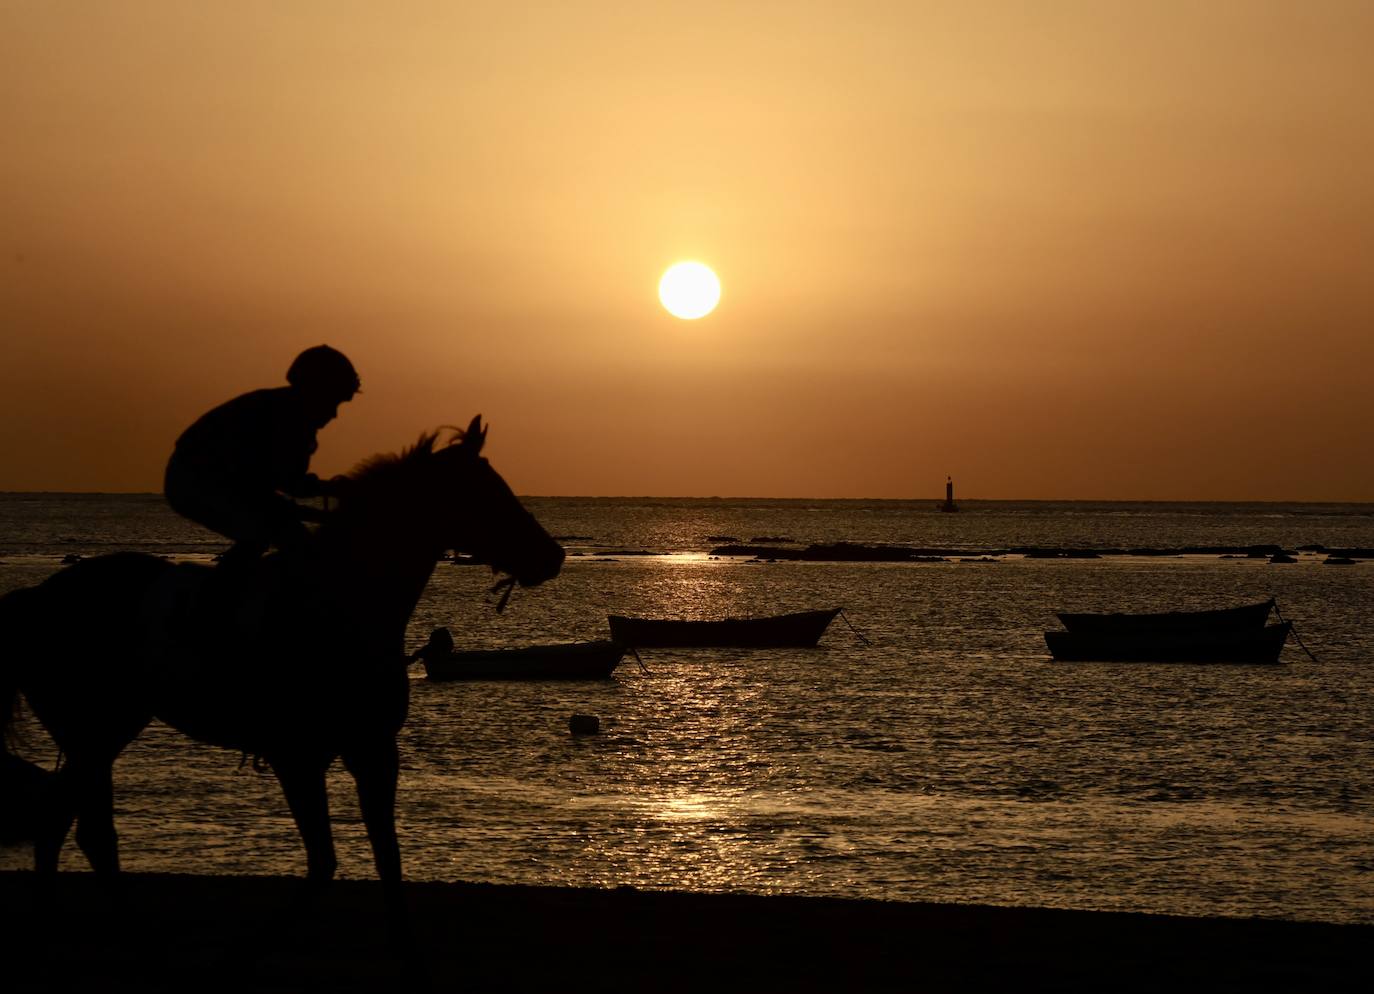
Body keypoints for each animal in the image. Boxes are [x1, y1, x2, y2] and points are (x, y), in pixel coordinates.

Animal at [0, 416, 564, 923]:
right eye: (485, 493)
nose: (553, 555)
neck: (341, 606)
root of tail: (36, 599)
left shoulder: (373, 751)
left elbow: (389, 864)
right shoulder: (297, 757)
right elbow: (322, 865)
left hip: (104, 731)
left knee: (71, 827)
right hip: (89, 731)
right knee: (74, 826)